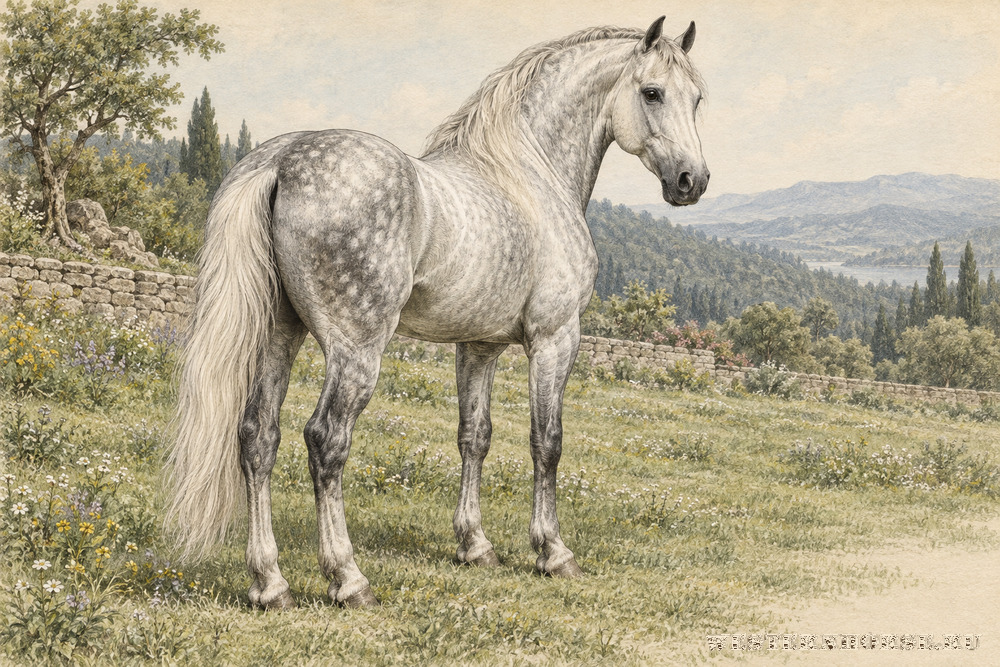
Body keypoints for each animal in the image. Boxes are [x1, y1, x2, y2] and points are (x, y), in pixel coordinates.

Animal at [168, 16, 709, 609]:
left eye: (697, 98)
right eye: (652, 92)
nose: (692, 181)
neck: (529, 179)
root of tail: (281, 161)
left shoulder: (479, 346)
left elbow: (475, 436)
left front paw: (475, 545)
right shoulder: (555, 338)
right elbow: (547, 442)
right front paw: (552, 552)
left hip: (279, 335)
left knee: (258, 436)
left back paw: (270, 583)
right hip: (355, 351)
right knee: (326, 441)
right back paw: (348, 579)